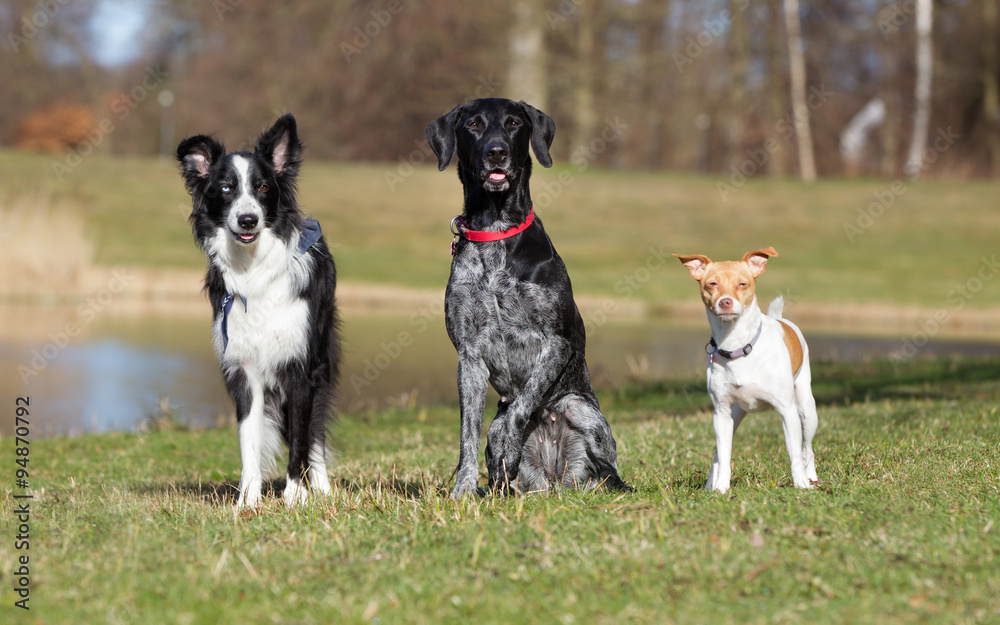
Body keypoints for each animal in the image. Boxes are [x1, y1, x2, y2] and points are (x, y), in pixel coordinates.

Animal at [176, 116, 340, 508]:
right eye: (225, 188)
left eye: (263, 187)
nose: (248, 220)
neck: (253, 270)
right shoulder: (244, 369)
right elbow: (248, 440)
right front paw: (247, 502)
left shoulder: (300, 368)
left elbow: (300, 440)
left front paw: (295, 498)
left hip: (322, 363)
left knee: (314, 434)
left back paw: (323, 488)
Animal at [424, 97, 628, 498]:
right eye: (473, 124)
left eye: (514, 123)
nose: (496, 151)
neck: (495, 232)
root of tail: (553, 482)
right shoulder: (469, 357)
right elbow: (467, 436)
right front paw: (463, 490)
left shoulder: (556, 344)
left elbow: (522, 406)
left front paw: (508, 444)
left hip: (581, 410)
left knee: (607, 469)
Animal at [672, 246, 820, 490]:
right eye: (712, 284)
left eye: (742, 284)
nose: (725, 302)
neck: (738, 346)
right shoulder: (721, 412)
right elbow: (724, 454)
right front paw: (721, 488)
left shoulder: (787, 410)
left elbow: (795, 453)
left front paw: (800, 484)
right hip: (735, 414)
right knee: (718, 454)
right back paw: (710, 484)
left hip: (807, 410)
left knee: (807, 448)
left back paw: (811, 477)